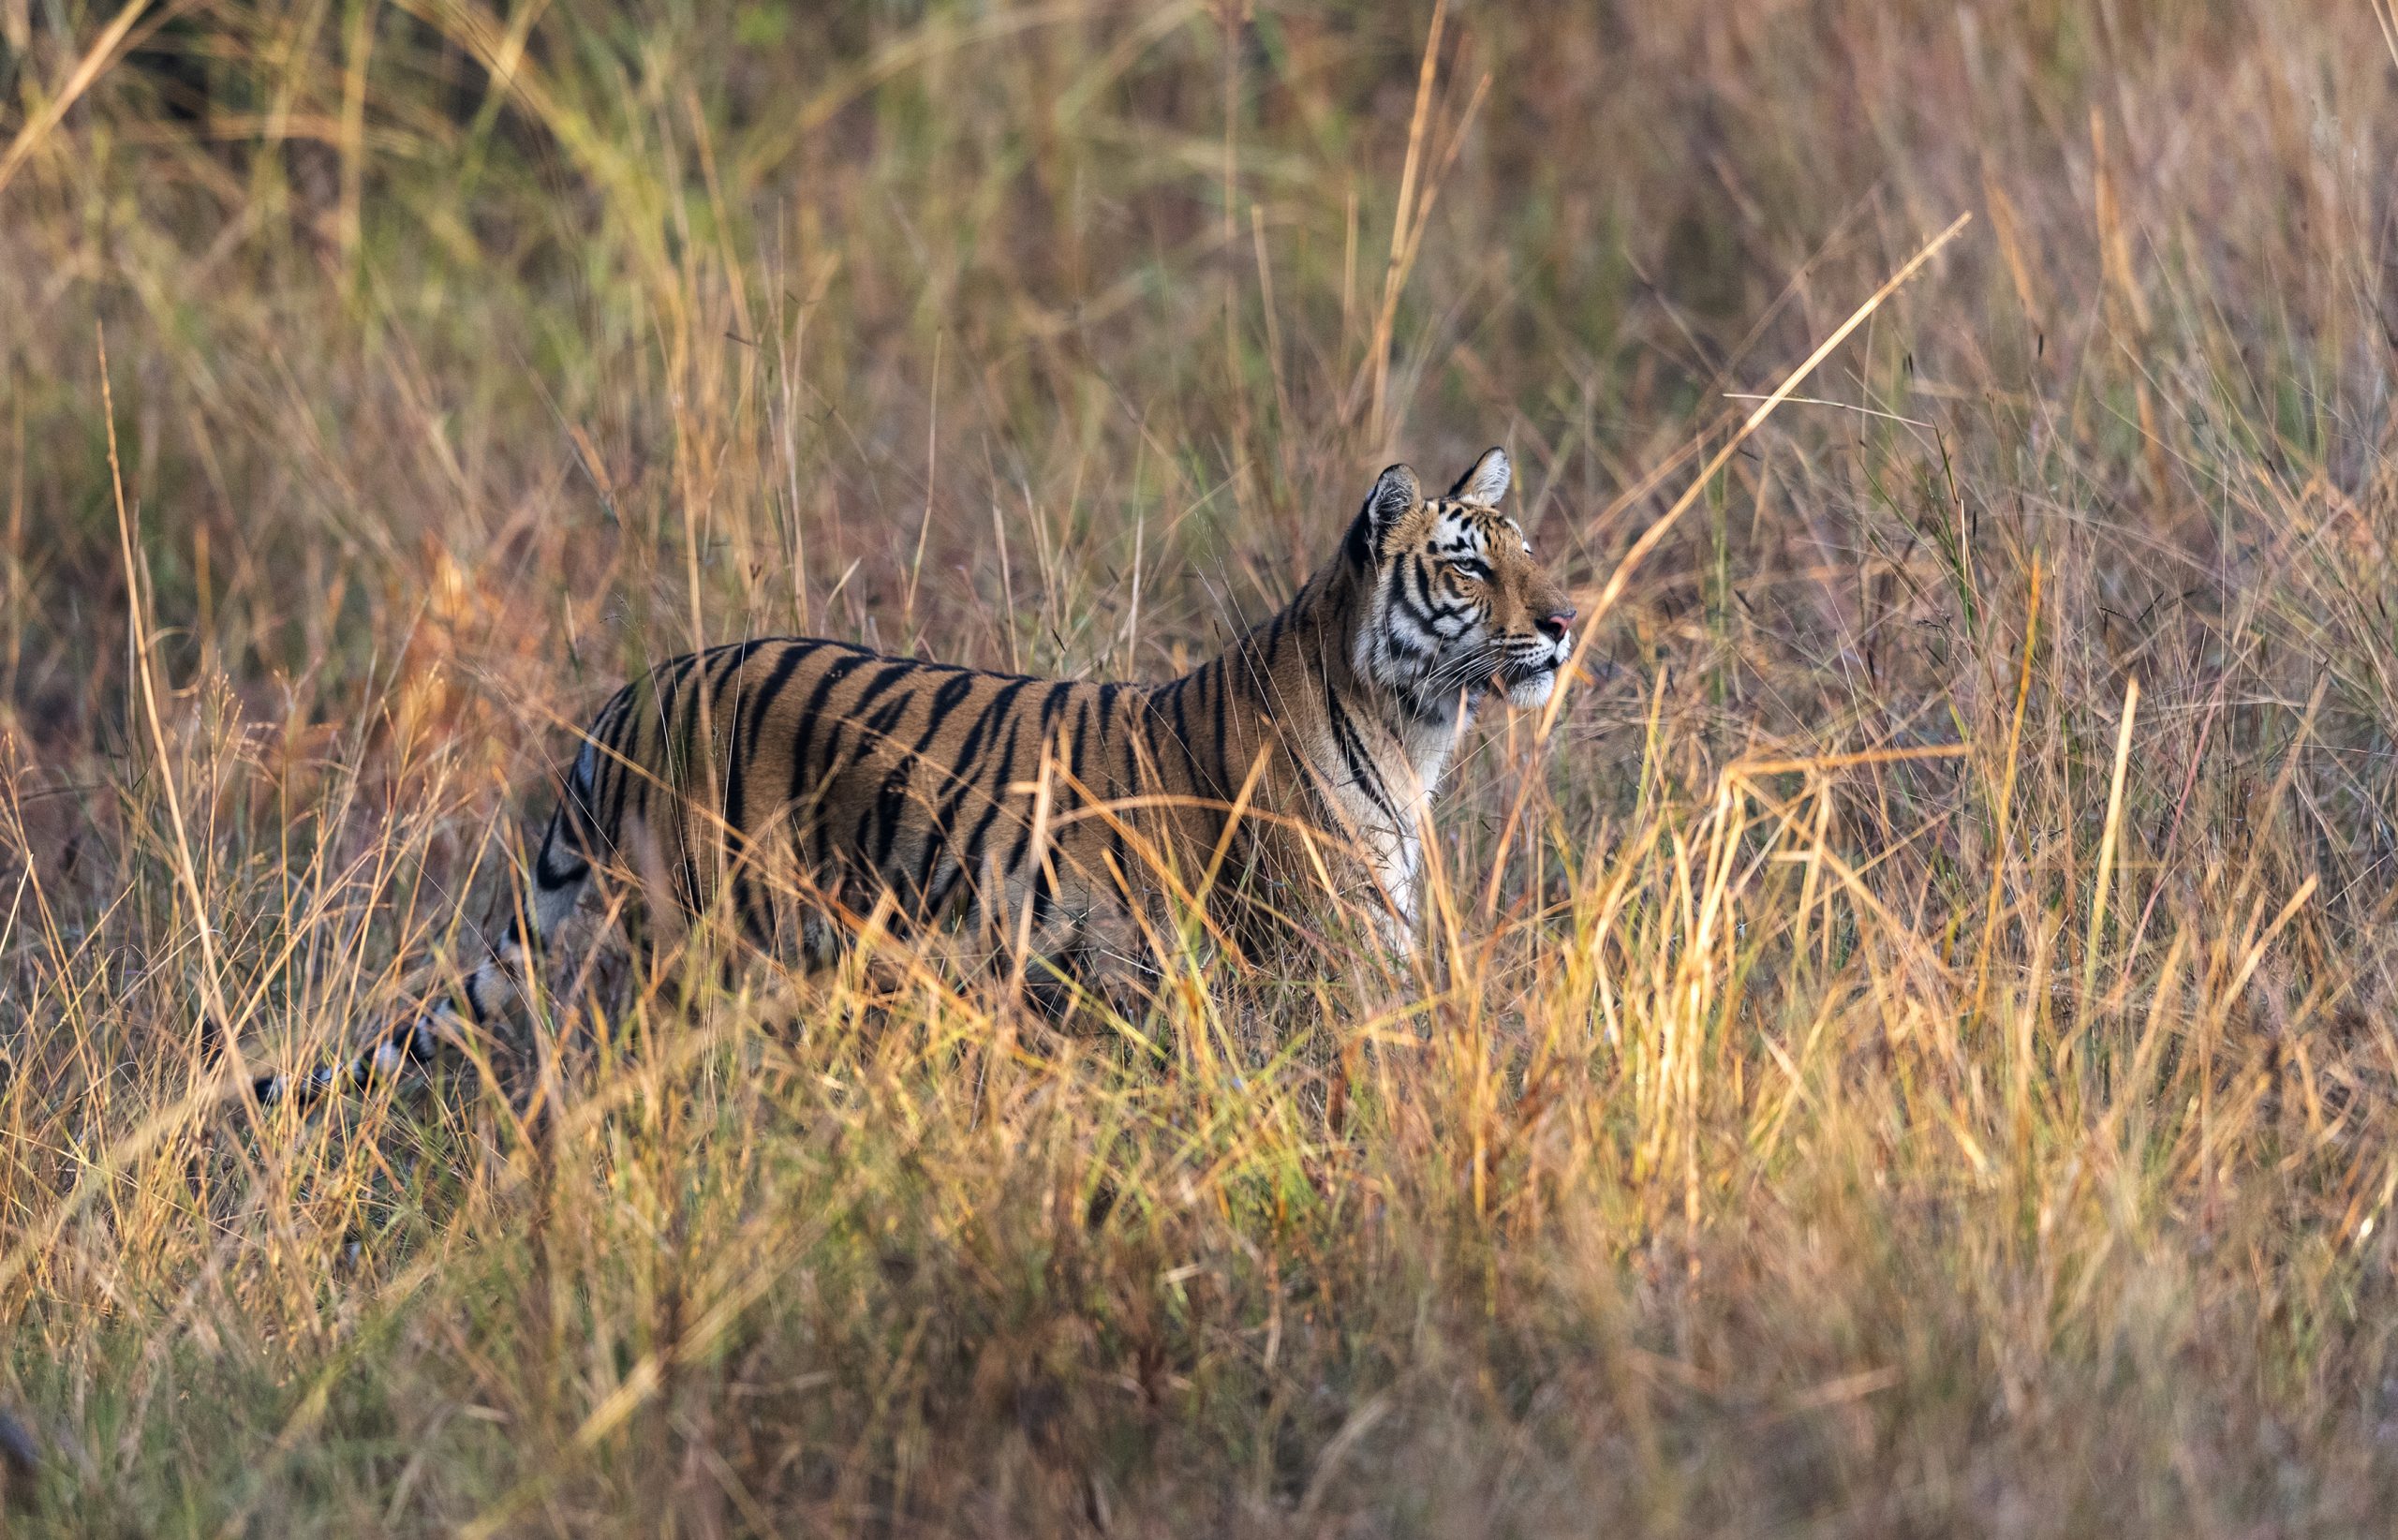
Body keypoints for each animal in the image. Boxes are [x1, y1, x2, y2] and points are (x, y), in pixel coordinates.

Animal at [253, 446, 1582, 1103]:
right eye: (1469, 566)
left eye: (1529, 552)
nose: (1567, 623)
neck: (1411, 728)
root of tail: (626, 699)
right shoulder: (1328, 960)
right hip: (702, 948)